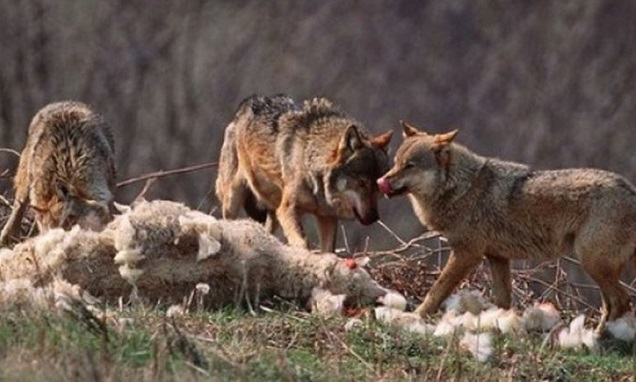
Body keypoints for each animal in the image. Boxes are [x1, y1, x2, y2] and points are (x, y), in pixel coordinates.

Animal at [215, 94, 392, 252]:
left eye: (377, 186)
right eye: (361, 183)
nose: (374, 218)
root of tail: (247, 103)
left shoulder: (327, 218)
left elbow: (329, 251)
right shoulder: (287, 209)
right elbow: (303, 242)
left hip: (273, 210)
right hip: (233, 200)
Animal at [378, 120, 636, 332]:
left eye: (410, 166)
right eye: (395, 163)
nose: (381, 181)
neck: (460, 188)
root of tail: (630, 190)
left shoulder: (466, 254)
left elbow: (436, 291)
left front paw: (415, 316)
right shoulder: (497, 257)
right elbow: (502, 301)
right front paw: (500, 325)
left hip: (592, 263)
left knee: (620, 302)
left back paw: (600, 339)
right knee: (613, 304)